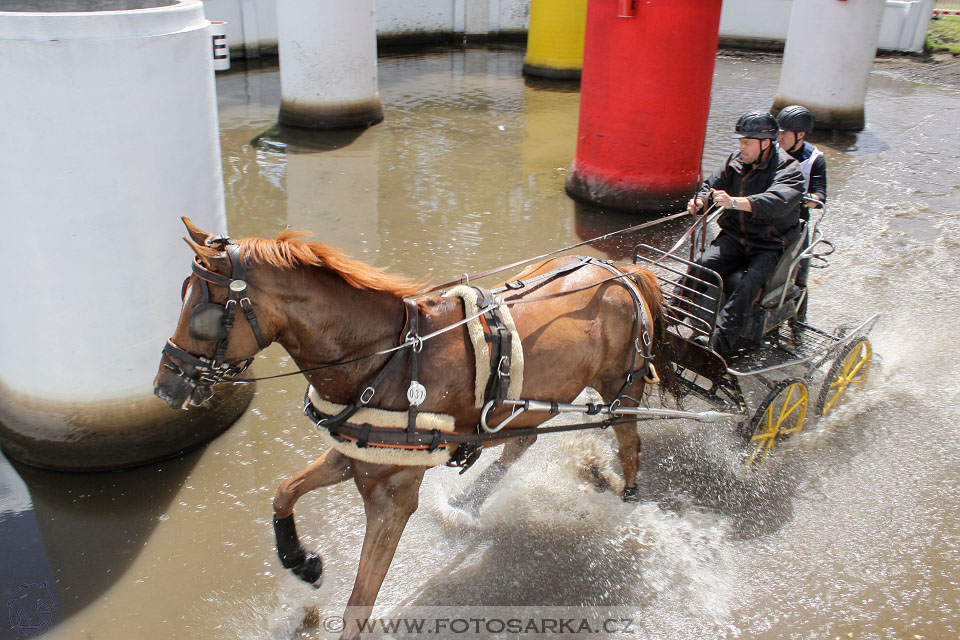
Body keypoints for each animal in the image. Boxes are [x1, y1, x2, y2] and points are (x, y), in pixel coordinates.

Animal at [154, 218, 672, 636]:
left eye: (201, 314)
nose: (164, 385)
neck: (387, 357)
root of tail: (620, 270)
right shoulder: (356, 454)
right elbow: (284, 492)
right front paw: (303, 562)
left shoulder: (394, 496)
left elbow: (360, 602)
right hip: (532, 399)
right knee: (520, 439)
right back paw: (471, 498)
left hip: (621, 387)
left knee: (629, 442)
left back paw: (628, 497)